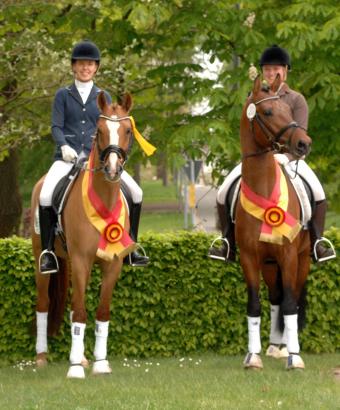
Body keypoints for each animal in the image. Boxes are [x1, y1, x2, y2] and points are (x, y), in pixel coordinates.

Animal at [30, 91, 135, 380]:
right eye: (100, 131)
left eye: (127, 130)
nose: (112, 169)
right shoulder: (80, 260)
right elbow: (79, 312)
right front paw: (75, 368)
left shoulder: (112, 264)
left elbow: (101, 311)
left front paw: (99, 363)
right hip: (43, 260)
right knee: (43, 303)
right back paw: (42, 357)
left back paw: (84, 359)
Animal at [235, 75, 312, 370]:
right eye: (267, 112)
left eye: (289, 111)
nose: (304, 144)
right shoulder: (249, 258)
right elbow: (255, 305)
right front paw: (253, 356)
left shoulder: (289, 256)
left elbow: (291, 305)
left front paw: (295, 358)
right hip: (269, 264)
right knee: (276, 297)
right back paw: (274, 347)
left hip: (302, 259)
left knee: (292, 300)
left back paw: (288, 348)